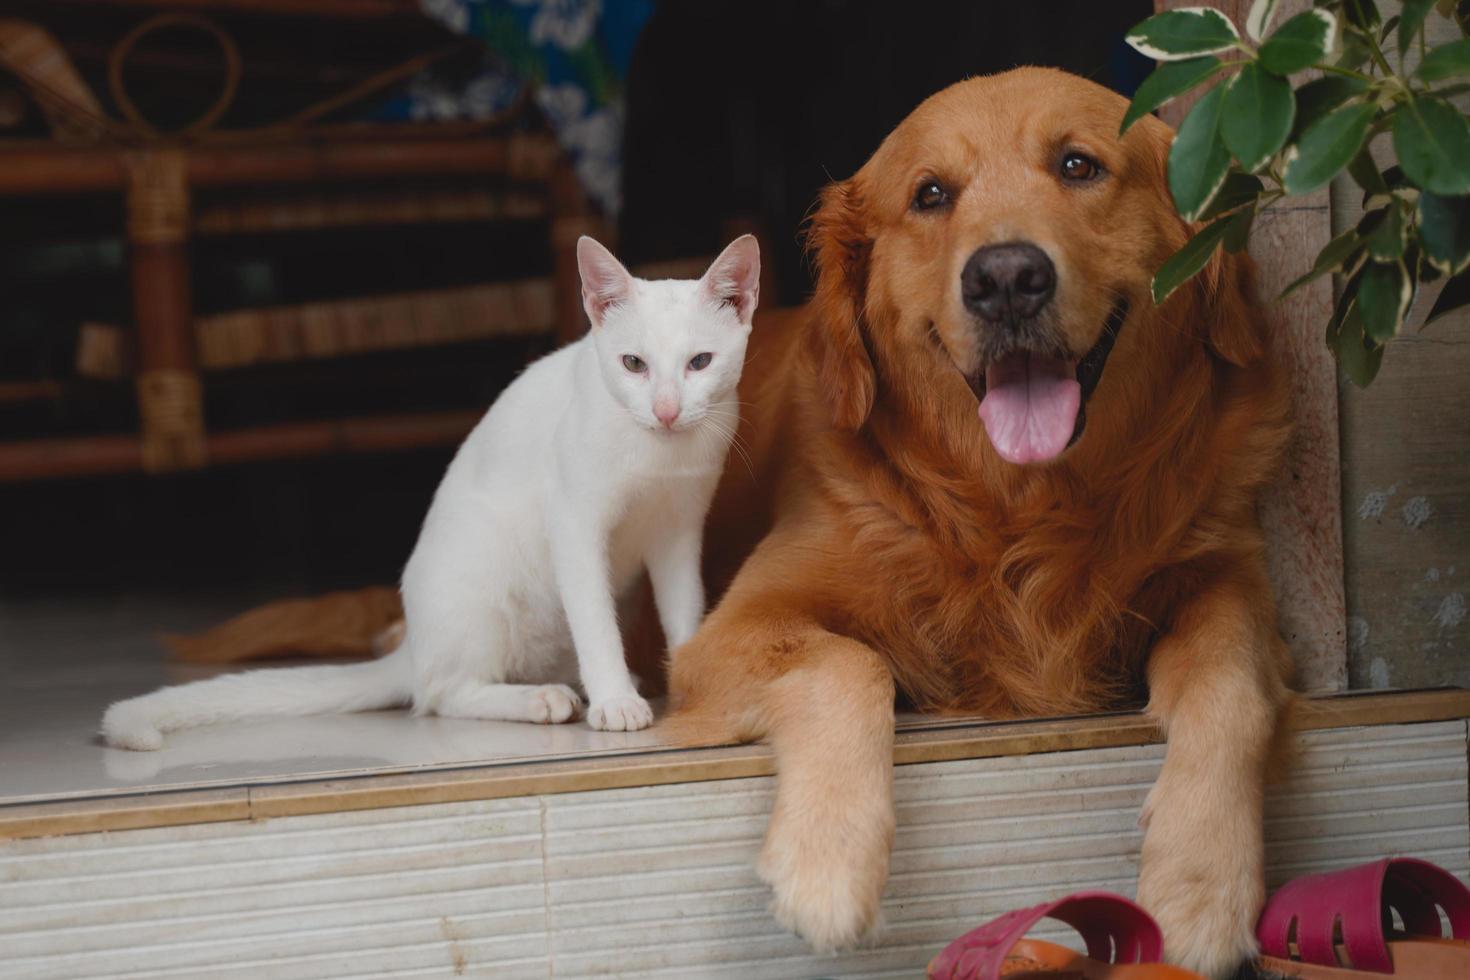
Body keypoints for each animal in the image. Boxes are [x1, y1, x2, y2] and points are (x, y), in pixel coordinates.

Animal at [103, 235, 758, 752]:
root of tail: (413, 644)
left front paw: (689, 678)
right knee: (442, 693)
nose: (667, 410)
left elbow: (685, 610)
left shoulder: (678, 531)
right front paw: (616, 702)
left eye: (700, 362)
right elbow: (595, 623)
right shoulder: (574, 523)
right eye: (633, 364)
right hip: (481, 585)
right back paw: (540, 700)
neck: (659, 457)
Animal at [664, 65, 1287, 975]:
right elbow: (849, 662)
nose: (1005, 279)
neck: (1016, 508)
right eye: (930, 194)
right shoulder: (723, 635)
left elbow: (1233, 683)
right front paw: (827, 863)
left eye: (1077, 166)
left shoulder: (1226, 570)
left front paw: (1203, 882)